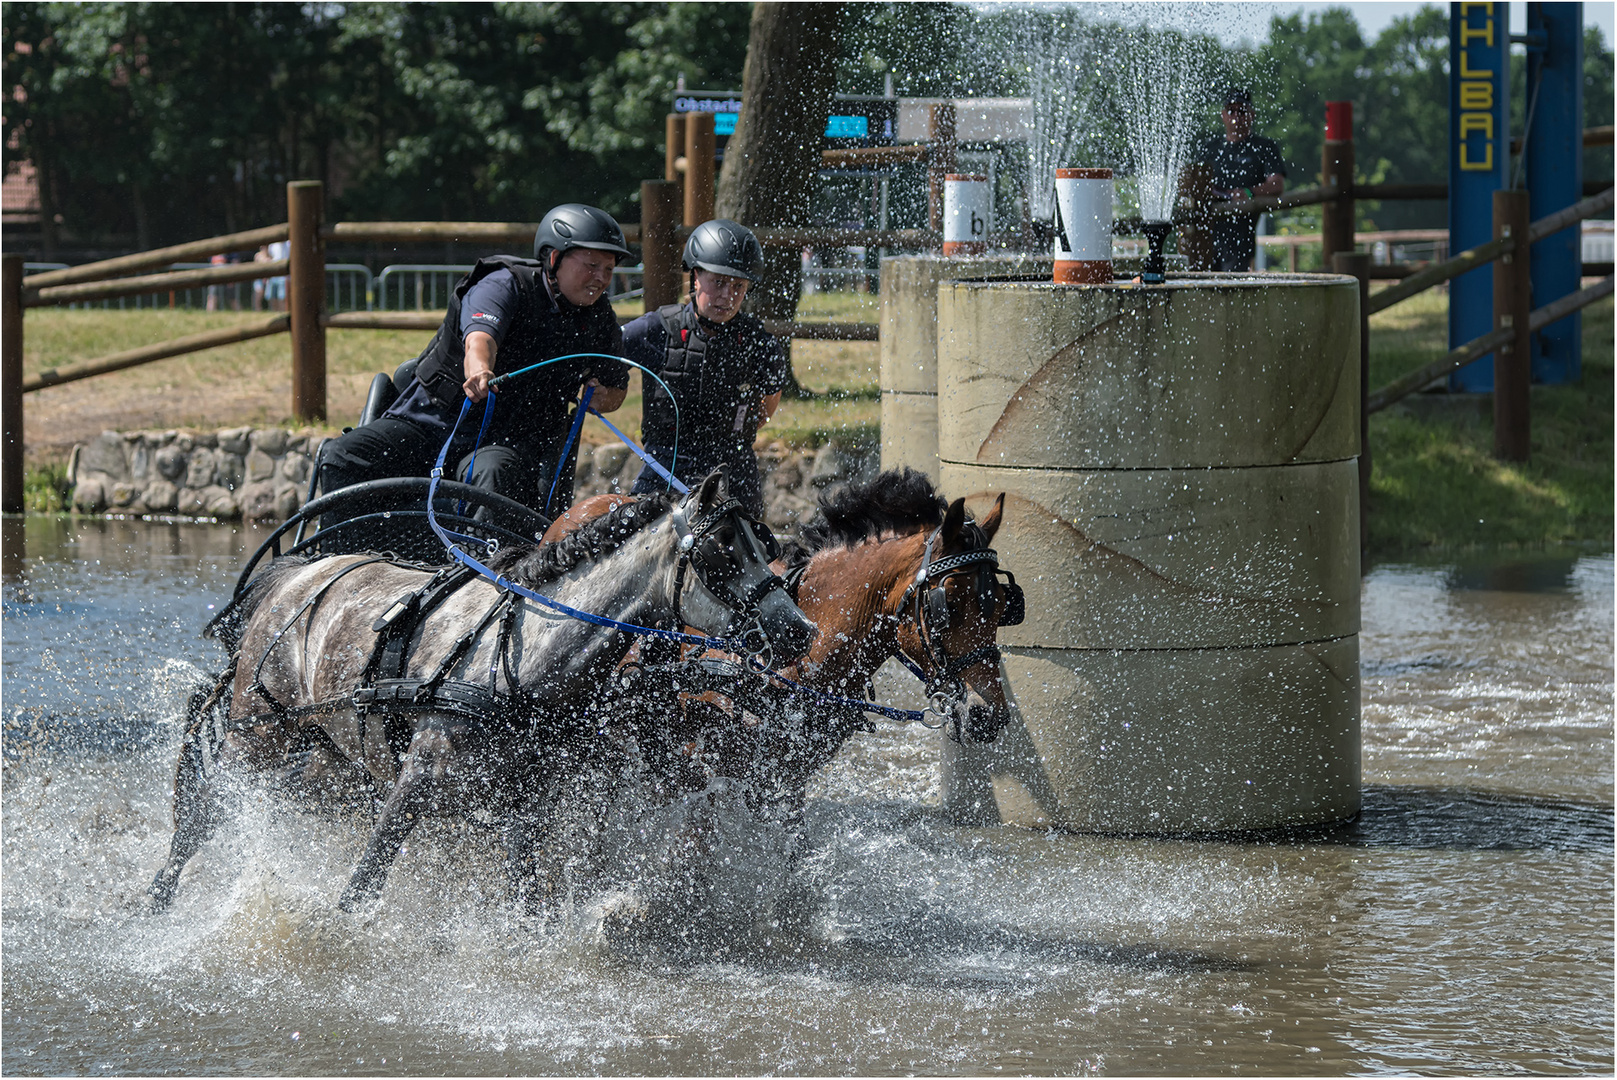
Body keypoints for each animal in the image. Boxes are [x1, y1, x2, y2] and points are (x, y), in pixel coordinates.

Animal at [145, 468, 814, 911]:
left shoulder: (526, 805)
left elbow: (526, 896)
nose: (799, 630)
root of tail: (293, 576)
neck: (521, 656)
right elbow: (362, 885)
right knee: (204, 811)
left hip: (330, 751)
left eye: (765, 545)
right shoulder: (415, 781)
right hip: (258, 736)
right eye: (724, 550)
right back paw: (157, 896)